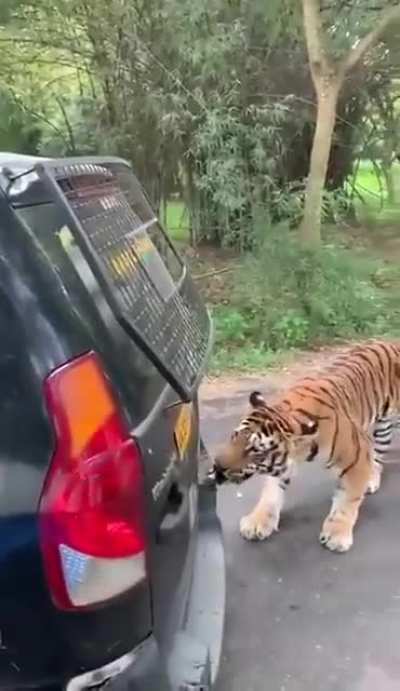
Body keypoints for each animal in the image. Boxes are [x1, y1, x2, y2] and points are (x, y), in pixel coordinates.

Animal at [213, 340, 400, 553]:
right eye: (234, 437)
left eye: (254, 451)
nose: (218, 466)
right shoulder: (282, 465)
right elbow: (270, 493)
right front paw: (258, 521)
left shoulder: (355, 458)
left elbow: (347, 500)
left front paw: (337, 534)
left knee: (378, 455)